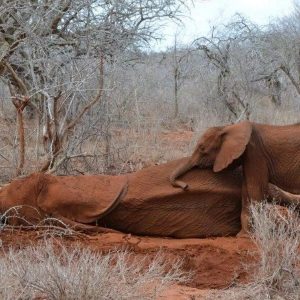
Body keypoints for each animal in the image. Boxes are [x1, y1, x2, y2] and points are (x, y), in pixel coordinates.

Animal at [170, 120, 300, 236]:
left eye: (202, 148)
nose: (185, 186)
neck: (227, 127)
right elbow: (246, 190)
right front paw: (243, 235)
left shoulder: (255, 153)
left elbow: (255, 190)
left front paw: (252, 235)